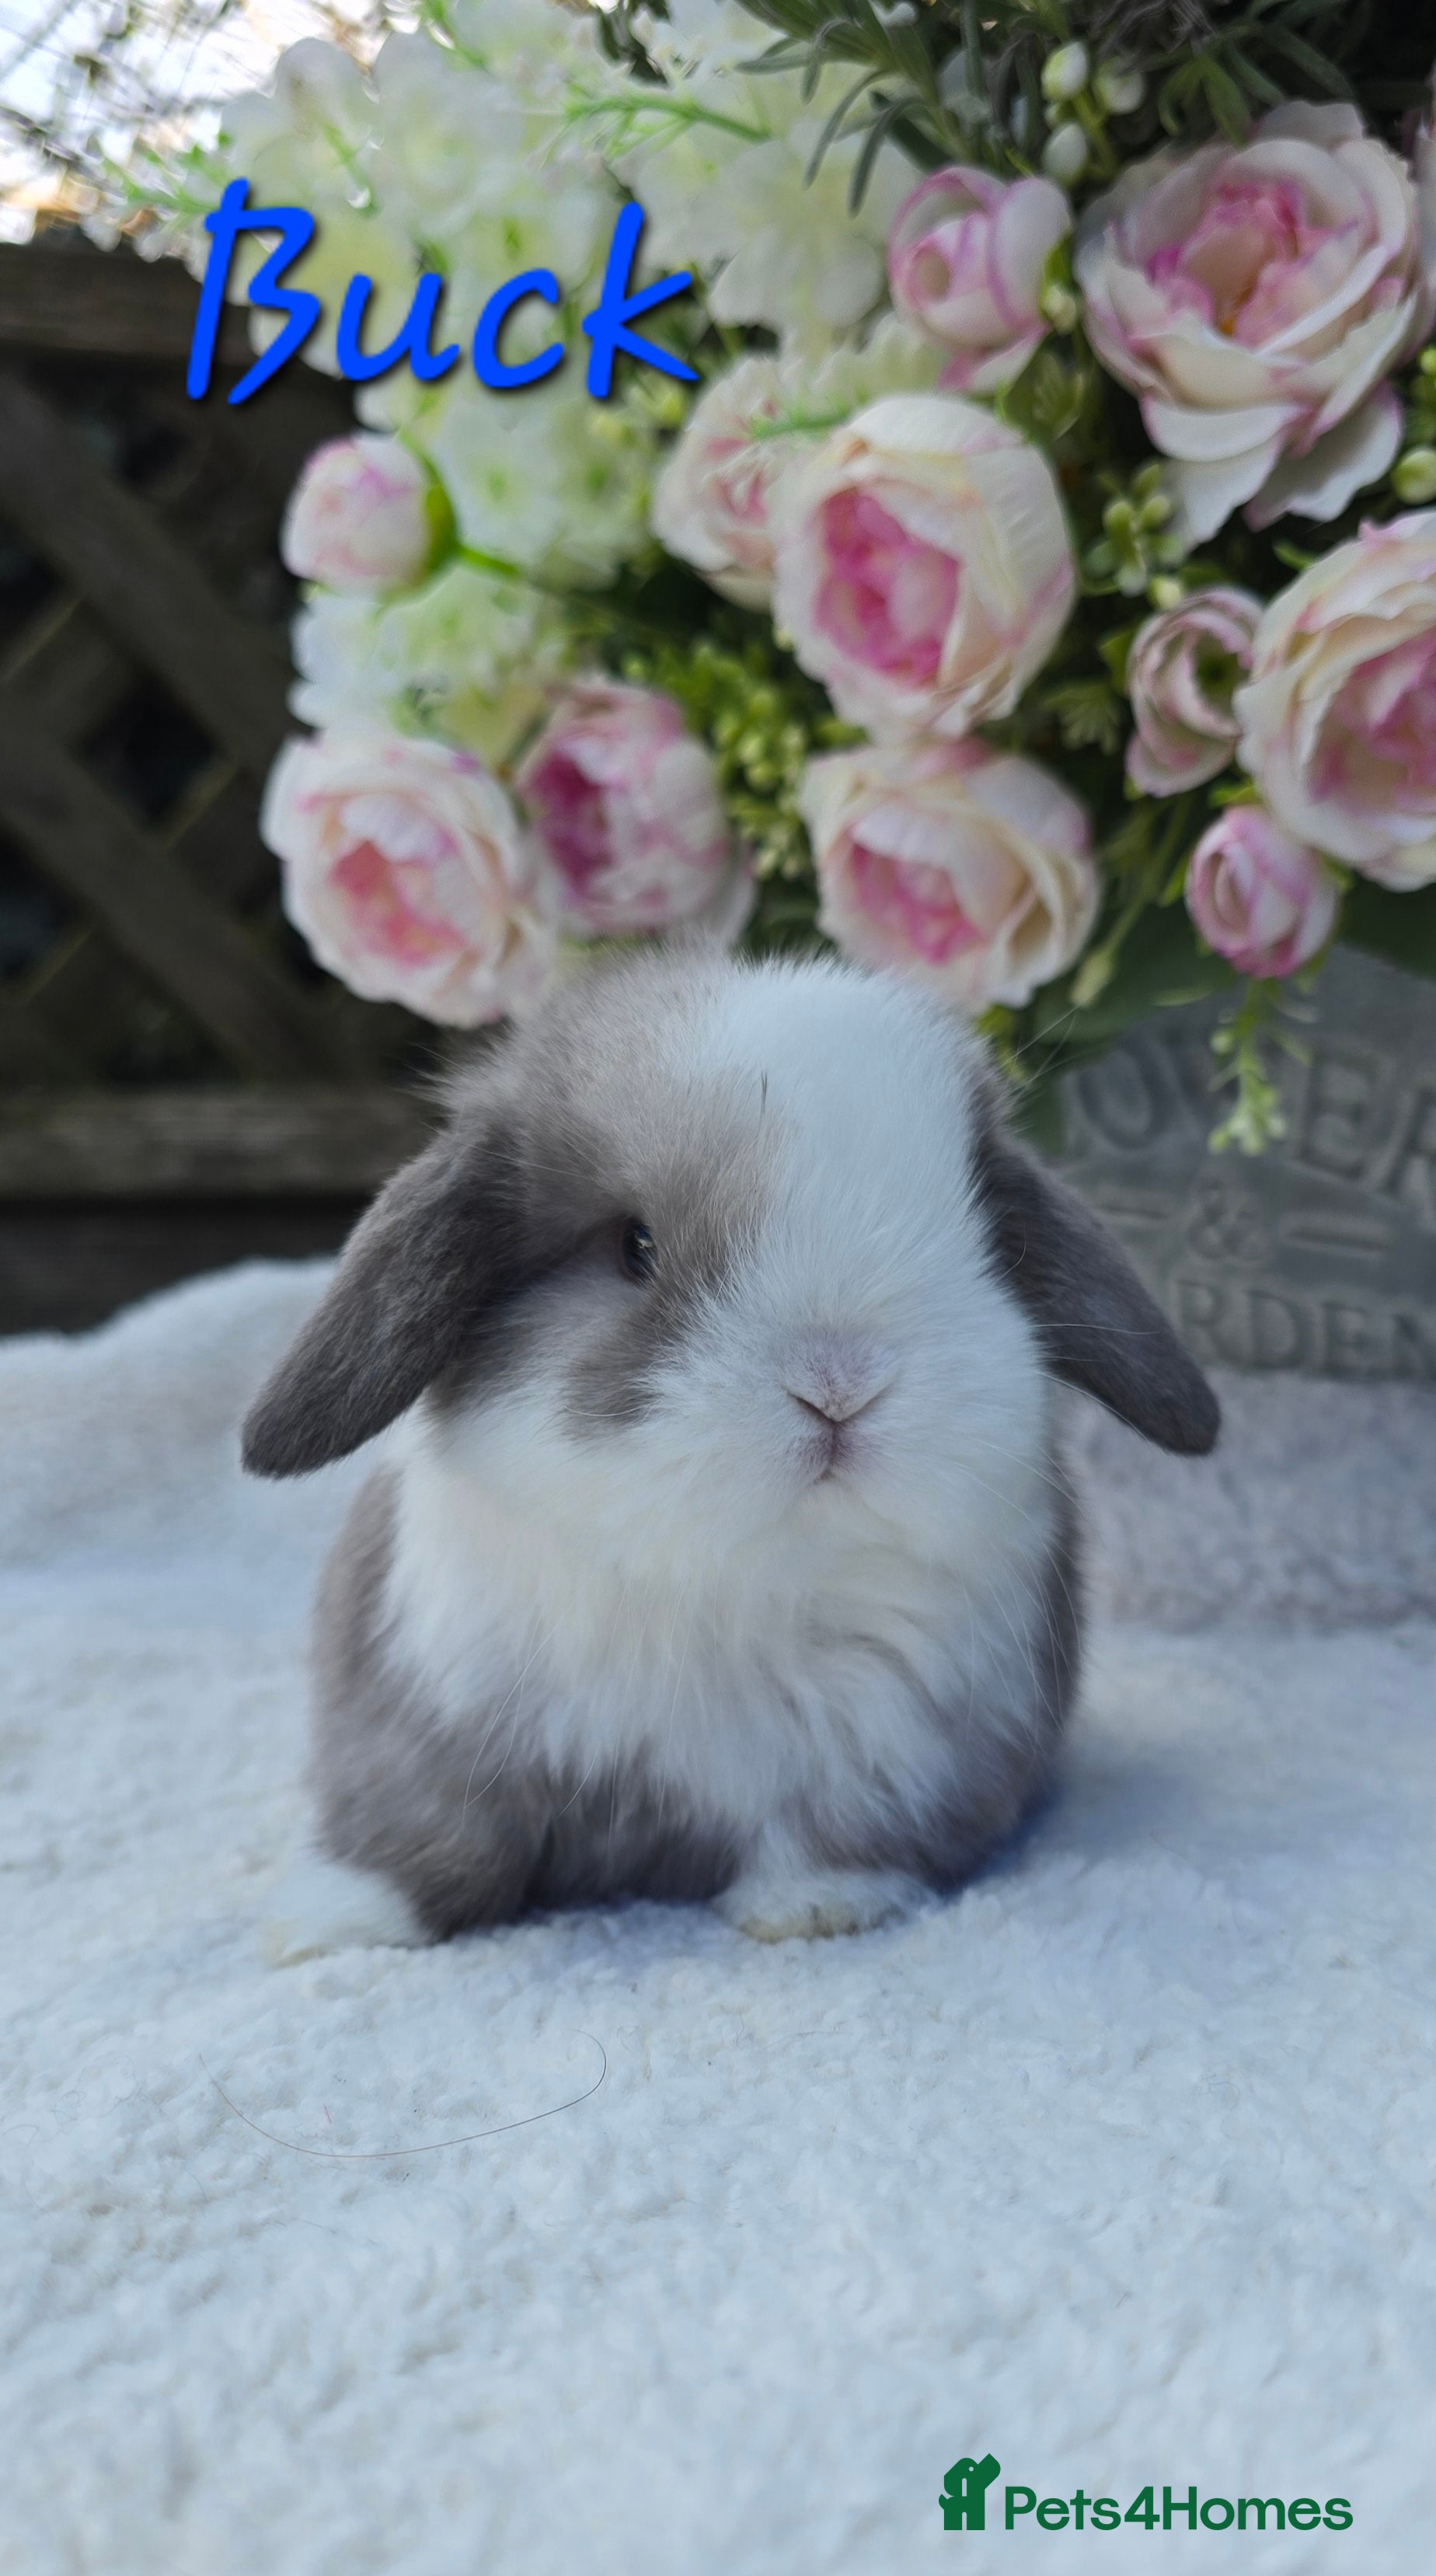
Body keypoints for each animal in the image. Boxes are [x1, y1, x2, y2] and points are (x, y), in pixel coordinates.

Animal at [244, 949, 1218, 1956]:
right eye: (635, 1246)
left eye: (986, 1239)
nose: (840, 1383)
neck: (719, 1583)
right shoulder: (424, 1723)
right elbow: (431, 1839)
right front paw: (331, 1920)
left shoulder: (899, 1760)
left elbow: (832, 1839)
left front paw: (816, 1910)